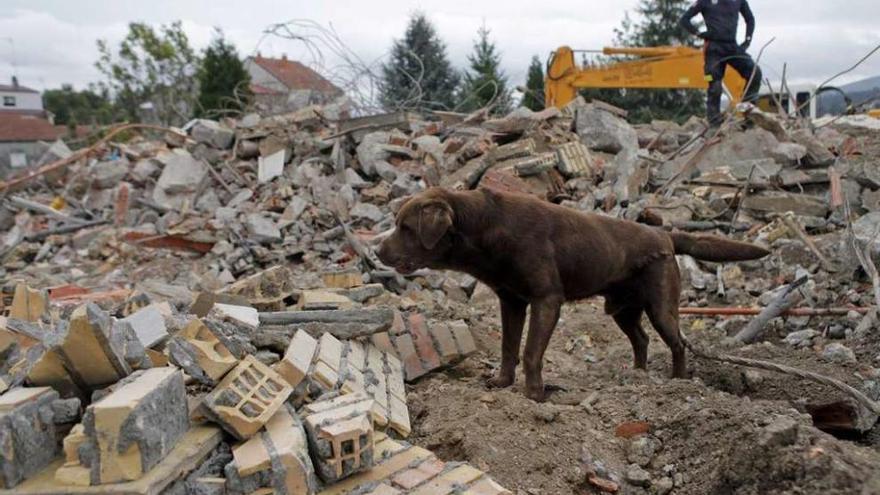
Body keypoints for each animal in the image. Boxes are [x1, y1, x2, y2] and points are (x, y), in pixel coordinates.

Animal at [380, 188, 768, 402]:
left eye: (405, 227)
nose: (377, 251)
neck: (486, 226)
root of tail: (666, 234)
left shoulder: (547, 300)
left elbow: (531, 352)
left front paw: (534, 395)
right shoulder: (511, 301)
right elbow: (508, 348)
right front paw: (502, 383)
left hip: (661, 307)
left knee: (677, 343)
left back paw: (677, 382)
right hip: (622, 309)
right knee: (641, 339)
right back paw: (637, 375)